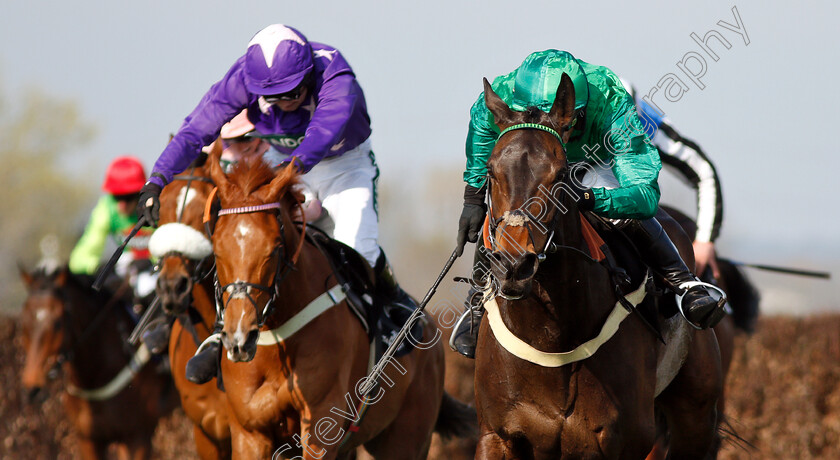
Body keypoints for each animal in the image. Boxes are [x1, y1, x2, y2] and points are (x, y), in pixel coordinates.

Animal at [203, 153, 472, 458]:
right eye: (216, 249)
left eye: (273, 248)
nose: (239, 338)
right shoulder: (250, 433)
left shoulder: (321, 426)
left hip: (405, 438)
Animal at [472, 73, 720, 458]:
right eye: (490, 170)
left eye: (560, 174)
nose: (514, 264)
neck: (552, 339)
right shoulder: (497, 435)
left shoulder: (621, 440)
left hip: (696, 418)